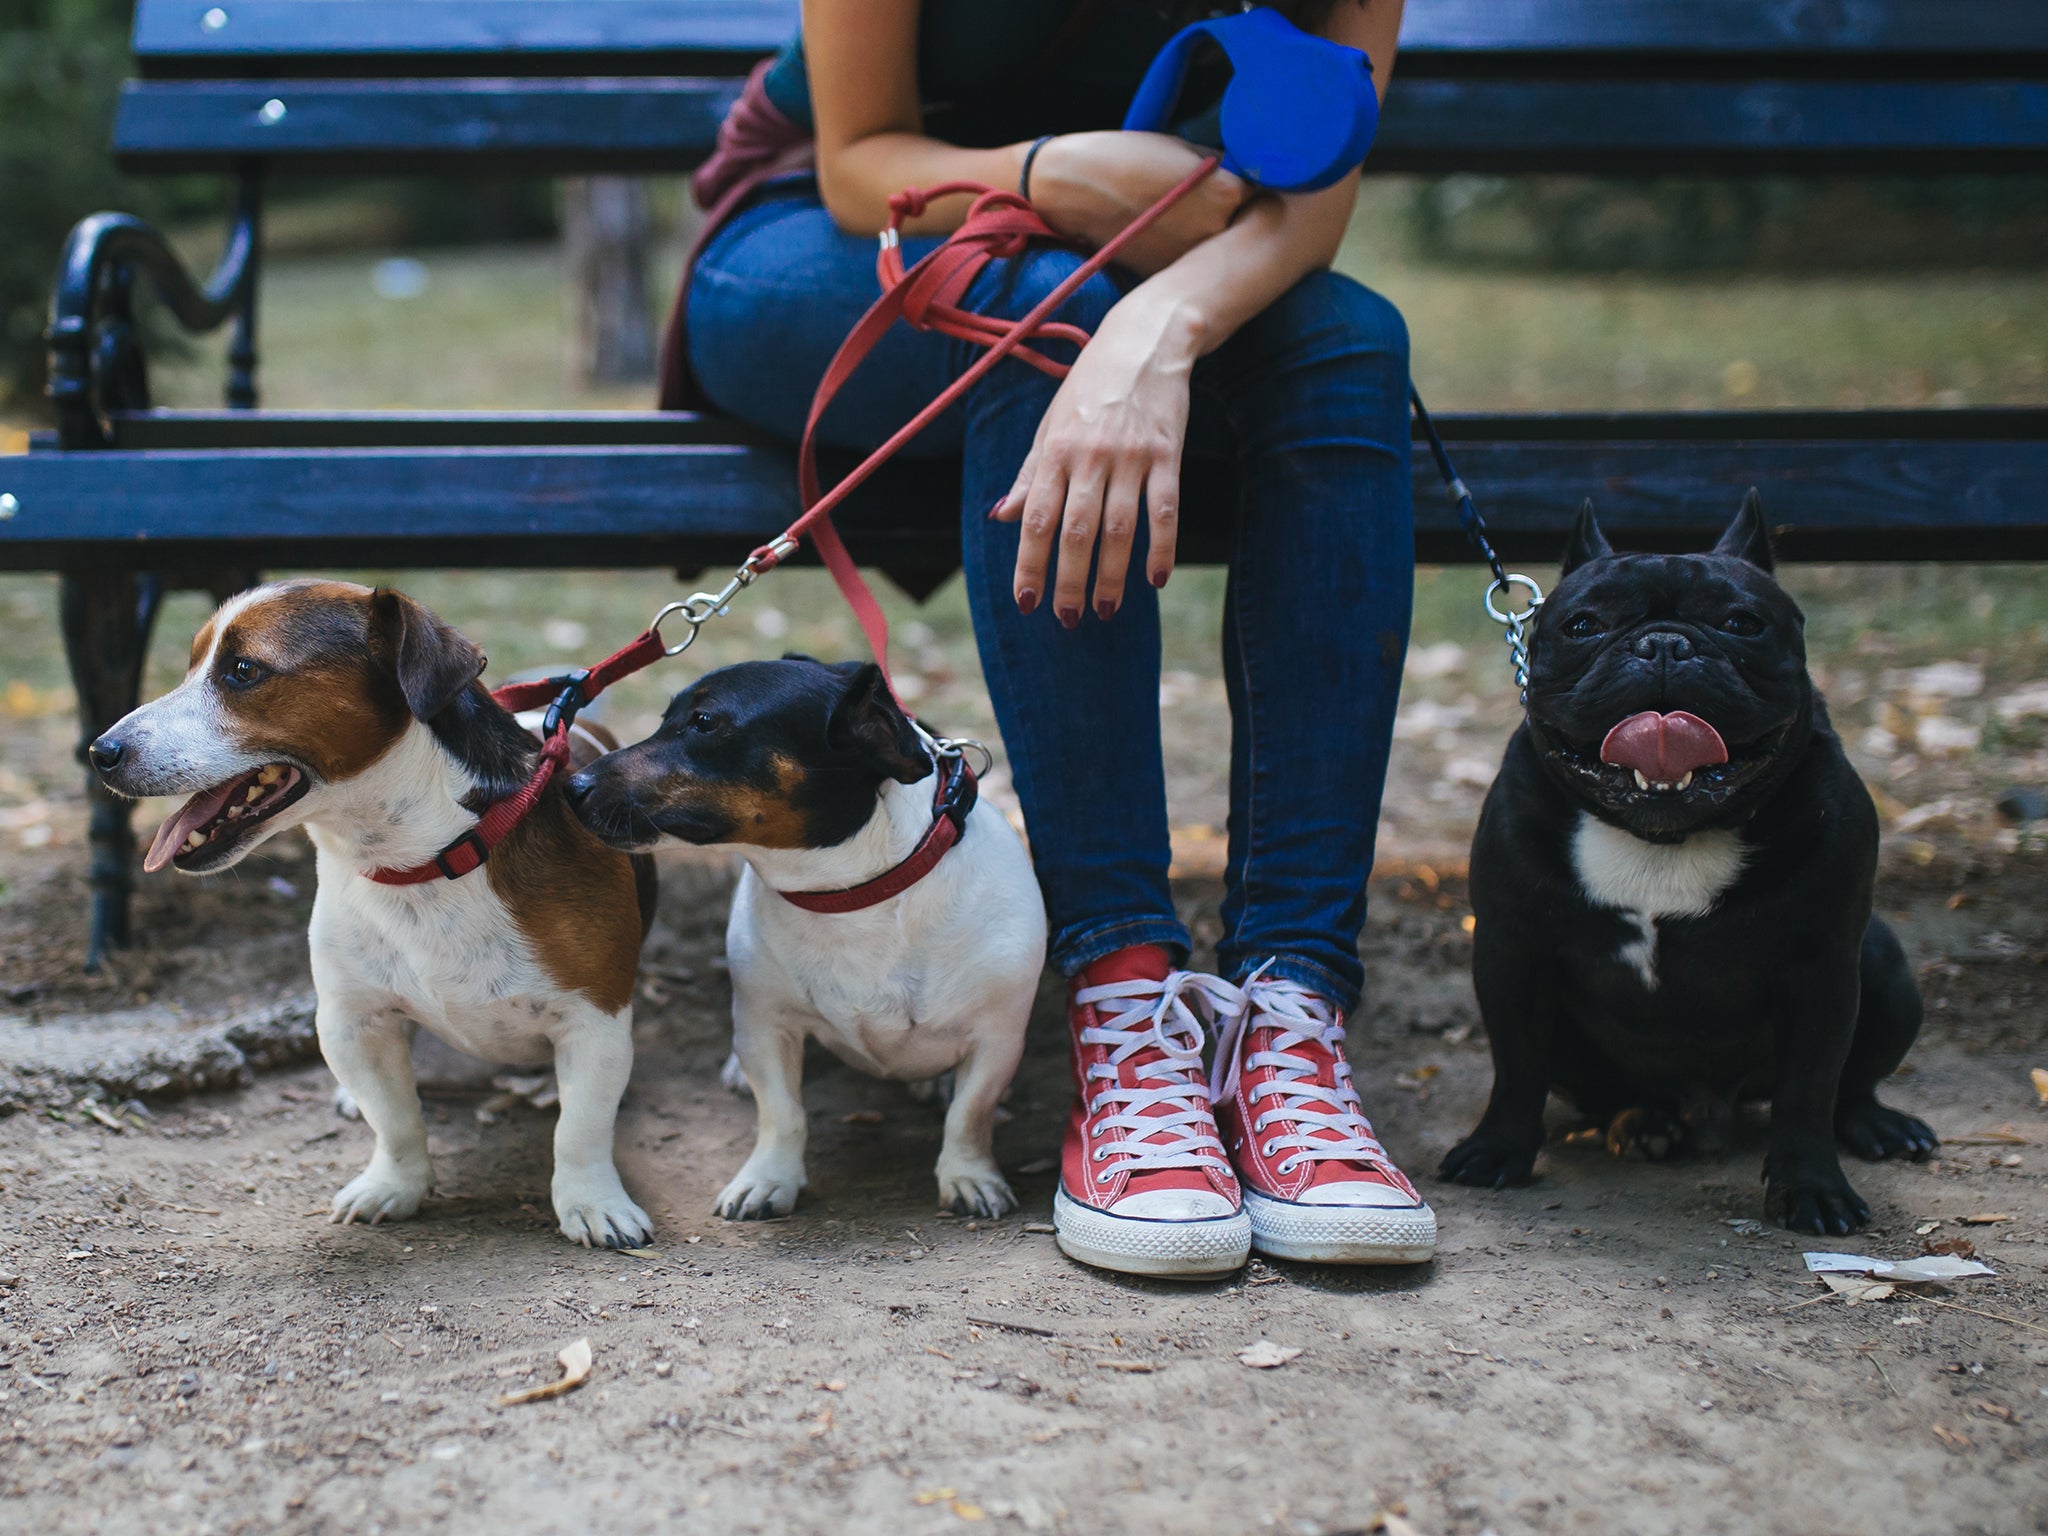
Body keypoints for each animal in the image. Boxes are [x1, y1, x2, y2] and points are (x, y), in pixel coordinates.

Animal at [92, 581, 655, 1253]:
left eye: (243, 670)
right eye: (191, 666)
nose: (100, 752)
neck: (425, 862)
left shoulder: (594, 1021)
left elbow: (580, 1130)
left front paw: (592, 1201)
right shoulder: (351, 1021)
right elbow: (395, 1120)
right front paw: (396, 1185)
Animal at [561, 663, 1040, 1228]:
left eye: (704, 722)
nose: (570, 785)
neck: (851, 897)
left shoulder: (997, 1040)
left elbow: (971, 1114)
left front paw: (969, 1176)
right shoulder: (766, 1028)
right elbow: (783, 1114)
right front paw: (769, 1179)